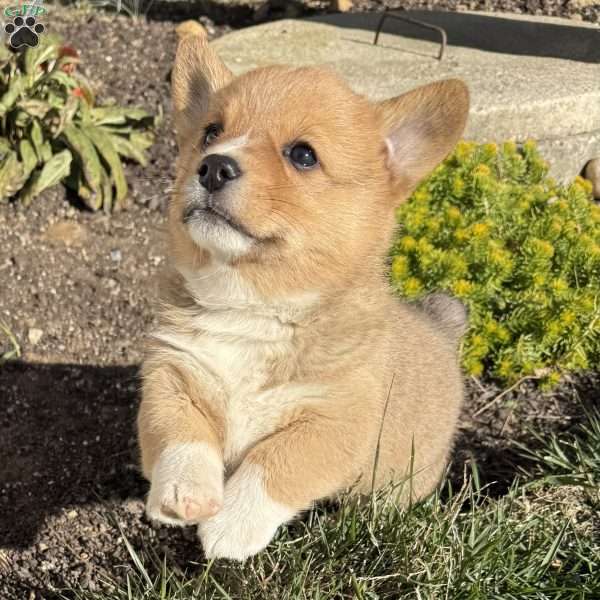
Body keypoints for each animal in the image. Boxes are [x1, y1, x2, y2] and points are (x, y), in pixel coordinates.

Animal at [138, 30, 472, 560]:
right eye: (211, 132)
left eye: (303, 155)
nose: (213, 167)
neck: (253, 304)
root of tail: (441, 328)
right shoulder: (172, 377)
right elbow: (180, 435)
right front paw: (185, 495)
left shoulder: (336, 421)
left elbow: (277, 460)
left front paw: (231, 526)